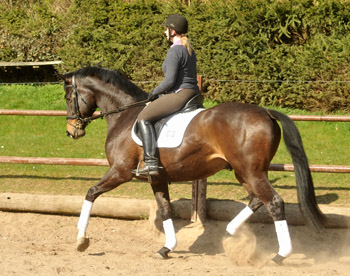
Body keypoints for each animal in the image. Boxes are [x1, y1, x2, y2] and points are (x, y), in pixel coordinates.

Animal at [60, 66, 326, 266]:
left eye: (68, 97)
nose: (72, 131)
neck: (125, 116)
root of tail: (266, 113)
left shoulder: (120, 171)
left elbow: (91, 193)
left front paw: (81, 239)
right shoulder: (157, 178)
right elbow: (166, 210)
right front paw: (167, 248)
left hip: (252, 172)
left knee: (274, 202)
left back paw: (279, 256)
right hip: (245, 172)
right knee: (256, 199)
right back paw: (229, 234)